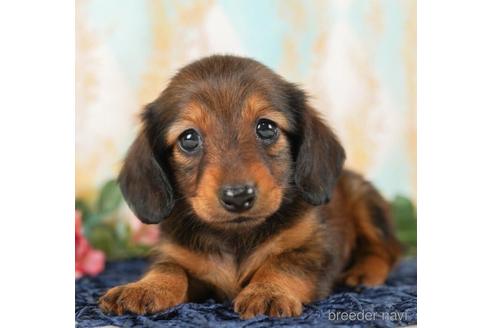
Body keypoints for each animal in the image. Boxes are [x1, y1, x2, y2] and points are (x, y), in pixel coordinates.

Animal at [99, 55, 400, 320]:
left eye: (266, 127)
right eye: (189, 138)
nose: (238, 196)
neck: (236, 237)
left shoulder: (315, 251)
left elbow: (282, 264)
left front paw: (267, 292)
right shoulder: (184, 260)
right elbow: (169, 268)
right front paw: (143, 288)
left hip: (364, 200)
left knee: (387, 249)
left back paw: (364, 272)